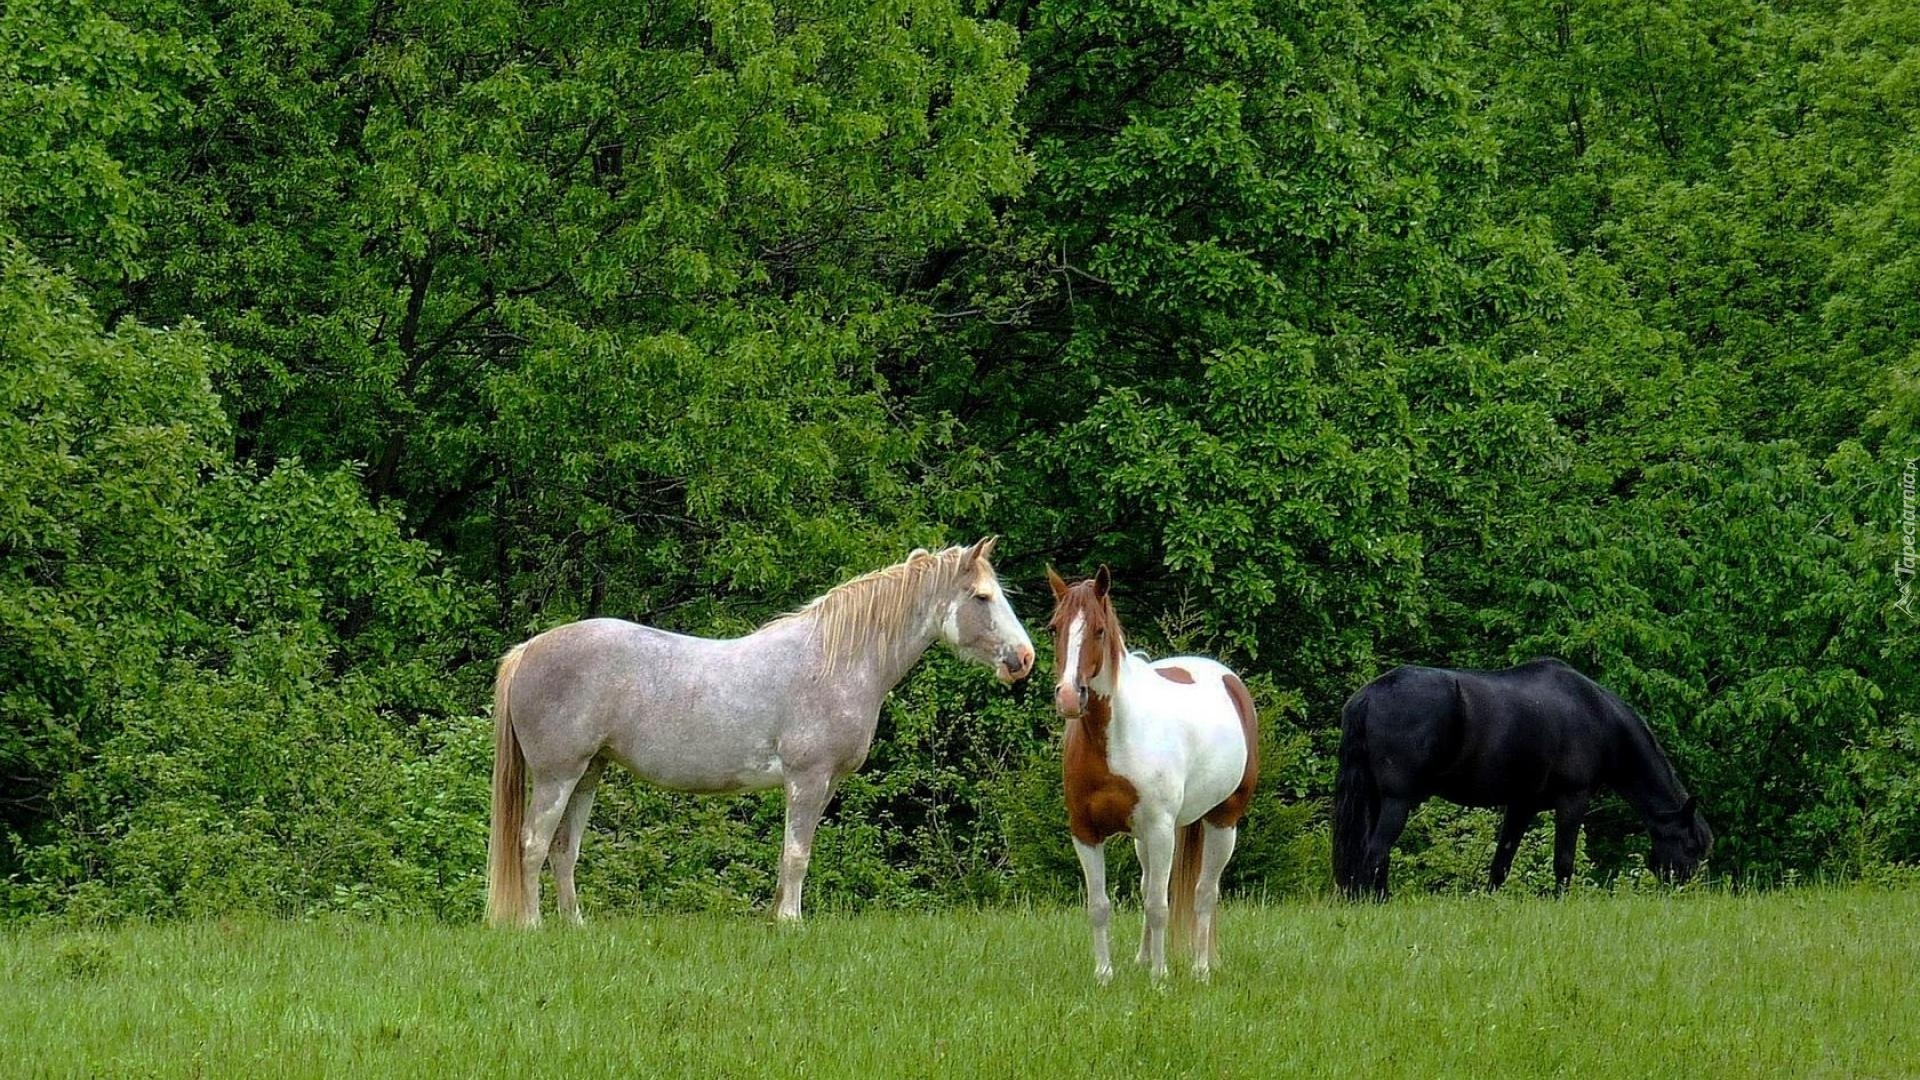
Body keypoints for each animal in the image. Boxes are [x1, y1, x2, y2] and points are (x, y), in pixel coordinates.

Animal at [491, 541, 1036, 922]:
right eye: (983, 597)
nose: (1024, 659)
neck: (835, 661)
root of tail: (528, 650)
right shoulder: (807, 779)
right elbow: (797, 855)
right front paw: (792, 922)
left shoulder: (823, 785)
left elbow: (792, 855)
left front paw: (777, 917)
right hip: (558, 776)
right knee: (532, 845)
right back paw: (533, 925)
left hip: (588, 774)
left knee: (564, 851)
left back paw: (575, 926)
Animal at [1052, 568, 1259, 980]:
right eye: (1054, 628)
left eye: (1099, 630)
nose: (1069, 695)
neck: (1114, 737)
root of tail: (1228, 680)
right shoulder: (1085, 832)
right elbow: (1100, 905)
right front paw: (1105, 975)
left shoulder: (1161, 830)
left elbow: (1158, 905)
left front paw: (1159, 978)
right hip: (1146, 838)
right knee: (1151, 883)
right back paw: (1143, 958)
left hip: (1222, 822)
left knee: (1203, 893)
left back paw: (1200, 969)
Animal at [1336, 661, 1712, 895]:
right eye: (1690, 846)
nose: (1687, 889)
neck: (1597, 715)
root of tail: (1369, 695)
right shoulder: (1573, 800)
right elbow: (1563, 861)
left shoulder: (1521, 805)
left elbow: (1501, 863)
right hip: (1397, 801)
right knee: (1375, 852)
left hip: (1374, 798)